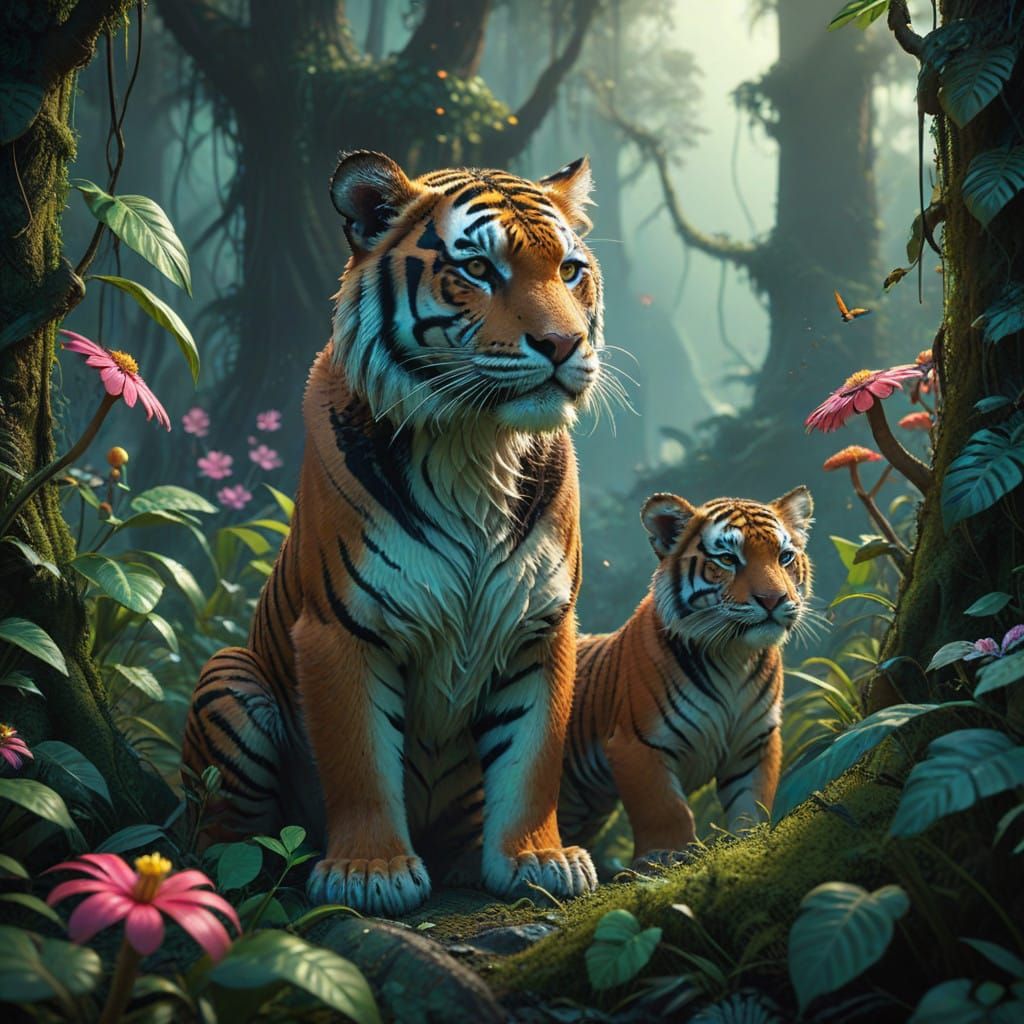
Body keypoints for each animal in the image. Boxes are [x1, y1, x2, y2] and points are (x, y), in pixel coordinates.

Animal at [181, 150, 606, 916]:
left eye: (569, 269)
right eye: (479, 269)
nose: (564, 344)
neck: (476, 448)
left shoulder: (542, 627)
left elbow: (533, 757)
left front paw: (539, 859)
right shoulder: (340, 628)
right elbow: (360, 760)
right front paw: (369, 873)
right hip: (230, 677)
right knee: (219, 835)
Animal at [559, 488, 814, 868]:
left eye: (784, 557)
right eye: (728, 559)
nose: (774, 599)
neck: (733, 656)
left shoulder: (755, 742)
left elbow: (752, 803)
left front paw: (749, 842)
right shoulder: (637, 745)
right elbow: (667, 810)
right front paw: (665, 859)